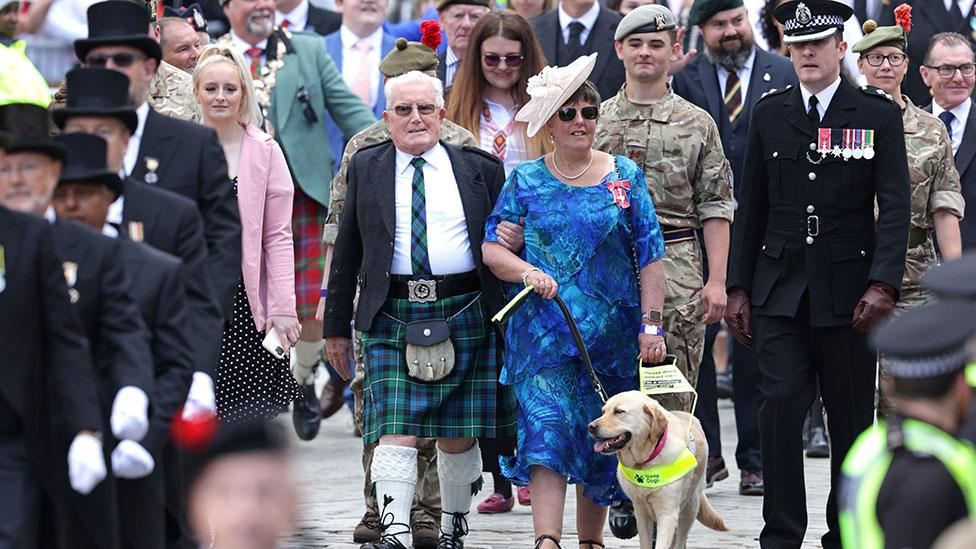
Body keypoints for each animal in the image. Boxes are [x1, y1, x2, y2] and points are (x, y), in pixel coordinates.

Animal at [588, 390, 724, 548]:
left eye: (619, 411)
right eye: (603, 412)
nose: (590, 426)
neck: (646, 460)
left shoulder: (668, 513)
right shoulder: (641, 512)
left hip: (690, 505)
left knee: (681, 538)